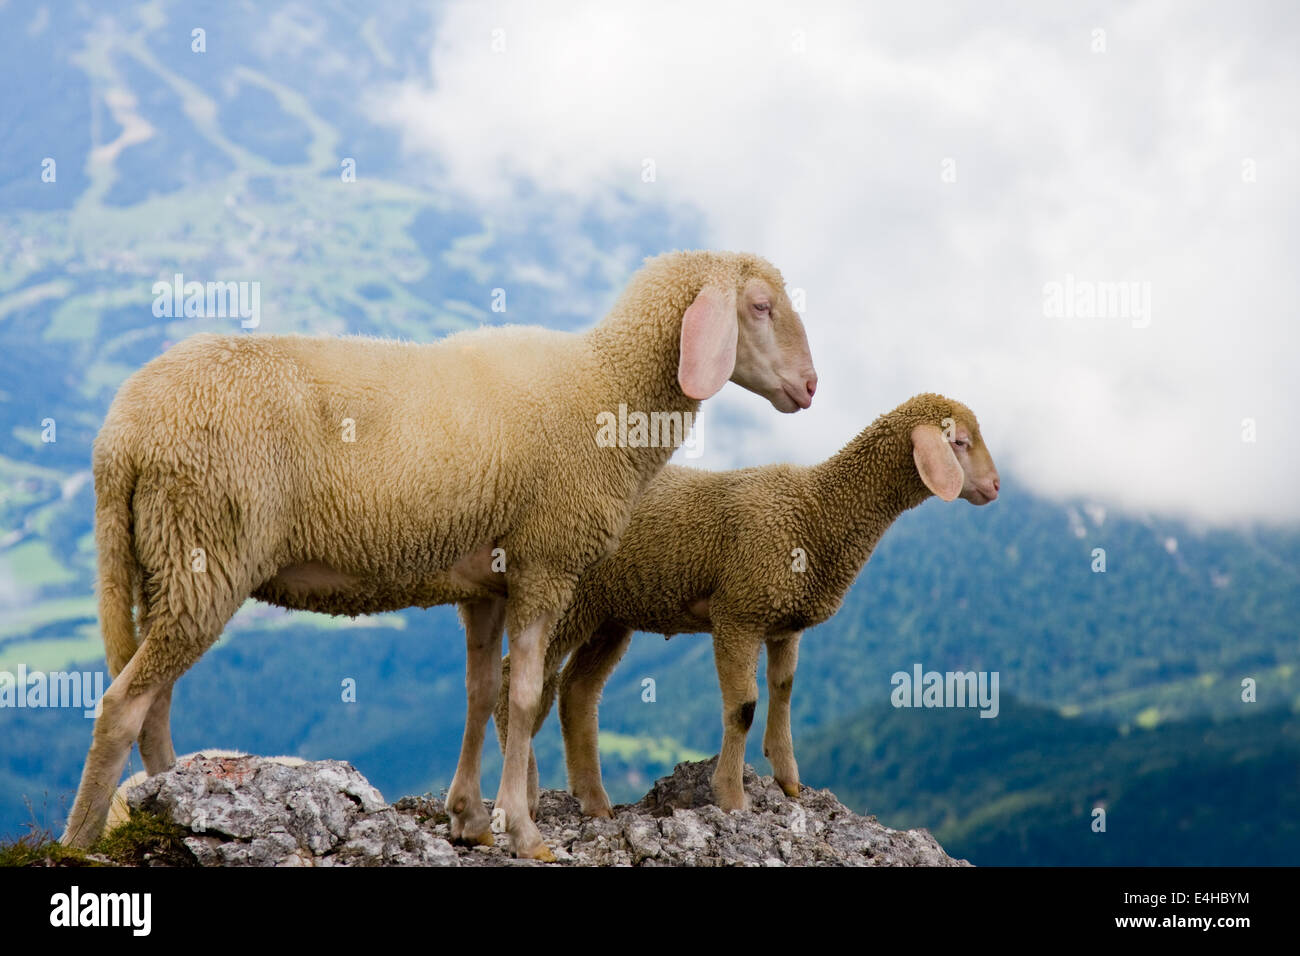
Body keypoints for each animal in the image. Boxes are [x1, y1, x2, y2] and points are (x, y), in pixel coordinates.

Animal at [61, 250, 818, 860]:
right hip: (203, 546)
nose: (810, 387)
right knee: (122, 703)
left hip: (163, 558)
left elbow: (480, 694)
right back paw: (84, 838)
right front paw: (525, 831)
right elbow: (523, 694)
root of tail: (120, 433)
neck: (607, 385)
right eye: (759, 306)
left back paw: (169, 797)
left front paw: (470, 820)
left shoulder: (485, 583)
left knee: (152, 699)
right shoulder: (545, 564)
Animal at [495, 392, 998, 818]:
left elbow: (784, 691)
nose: (995, 486)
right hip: (565, 600)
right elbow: (744, 707)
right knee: (515, 681)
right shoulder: (738, 613)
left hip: (608, 613)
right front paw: (732, 797)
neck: (817, 512)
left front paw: (789, 780)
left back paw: (595, 802)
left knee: (577, 693)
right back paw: (526, 797)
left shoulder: (784, 624)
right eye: (959, 441)